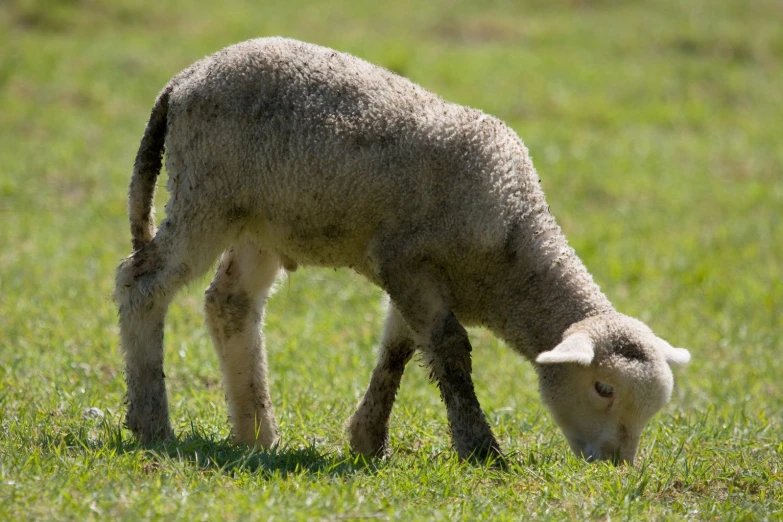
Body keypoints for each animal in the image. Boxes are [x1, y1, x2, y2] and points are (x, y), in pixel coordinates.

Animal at [113, 38, 688, 466]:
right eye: (603, 388)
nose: (617, 466)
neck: (512, 249)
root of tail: (184, 79)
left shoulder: (415, 280)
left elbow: (399, 350)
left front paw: (368, 440)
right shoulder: (408, 262)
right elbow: (451, 352)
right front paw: (480, 450)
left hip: (261, 221)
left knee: (229, 303)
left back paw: (256, 433)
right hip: (206, 195)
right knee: (141, 282)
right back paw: (152, 422)